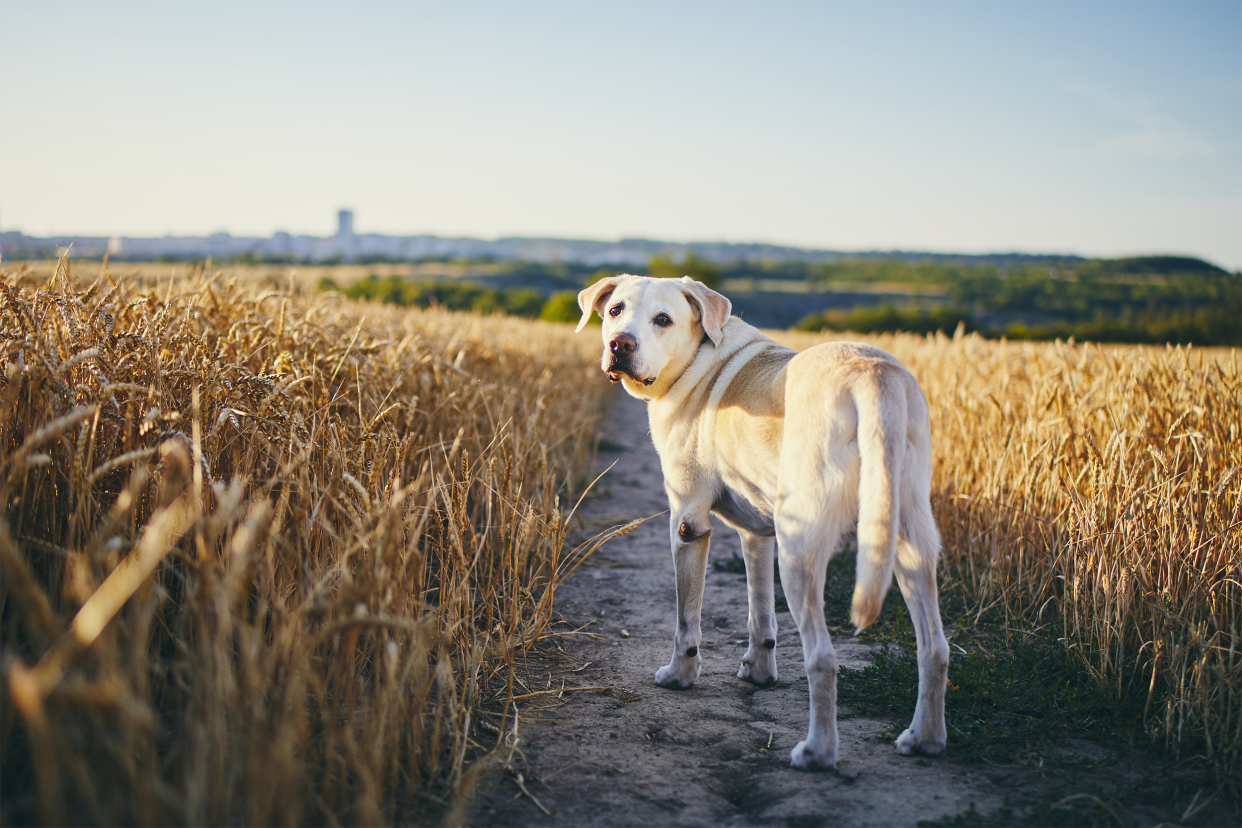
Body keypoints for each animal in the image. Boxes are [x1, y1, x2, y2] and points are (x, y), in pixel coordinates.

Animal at [573, 273, 948, 769]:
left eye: (663, 320)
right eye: (615, 310)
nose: (620, 344)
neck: (698, 359)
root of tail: (872, 376)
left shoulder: (688, 523)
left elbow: (686, 621)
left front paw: (679, 675)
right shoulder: (756, 534)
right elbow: (760, 613)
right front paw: (759, 671)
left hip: (799, 550)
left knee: (823, 658)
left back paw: (816, 752)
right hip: (908, 542)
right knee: (935, 648)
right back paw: (924, 738)